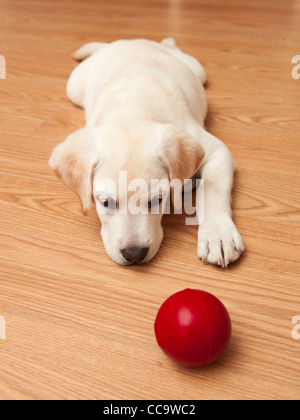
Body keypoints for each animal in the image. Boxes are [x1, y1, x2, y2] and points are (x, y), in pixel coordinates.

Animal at [49, 37, 245, 266]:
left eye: (157, 200)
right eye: (105, 202)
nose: (134, 254)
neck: (133, 110)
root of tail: (129, 40)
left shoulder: (216, 151)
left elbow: (212, 190)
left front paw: (218, 236)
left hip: (197, 69)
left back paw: (168, 42)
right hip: (74, 86)